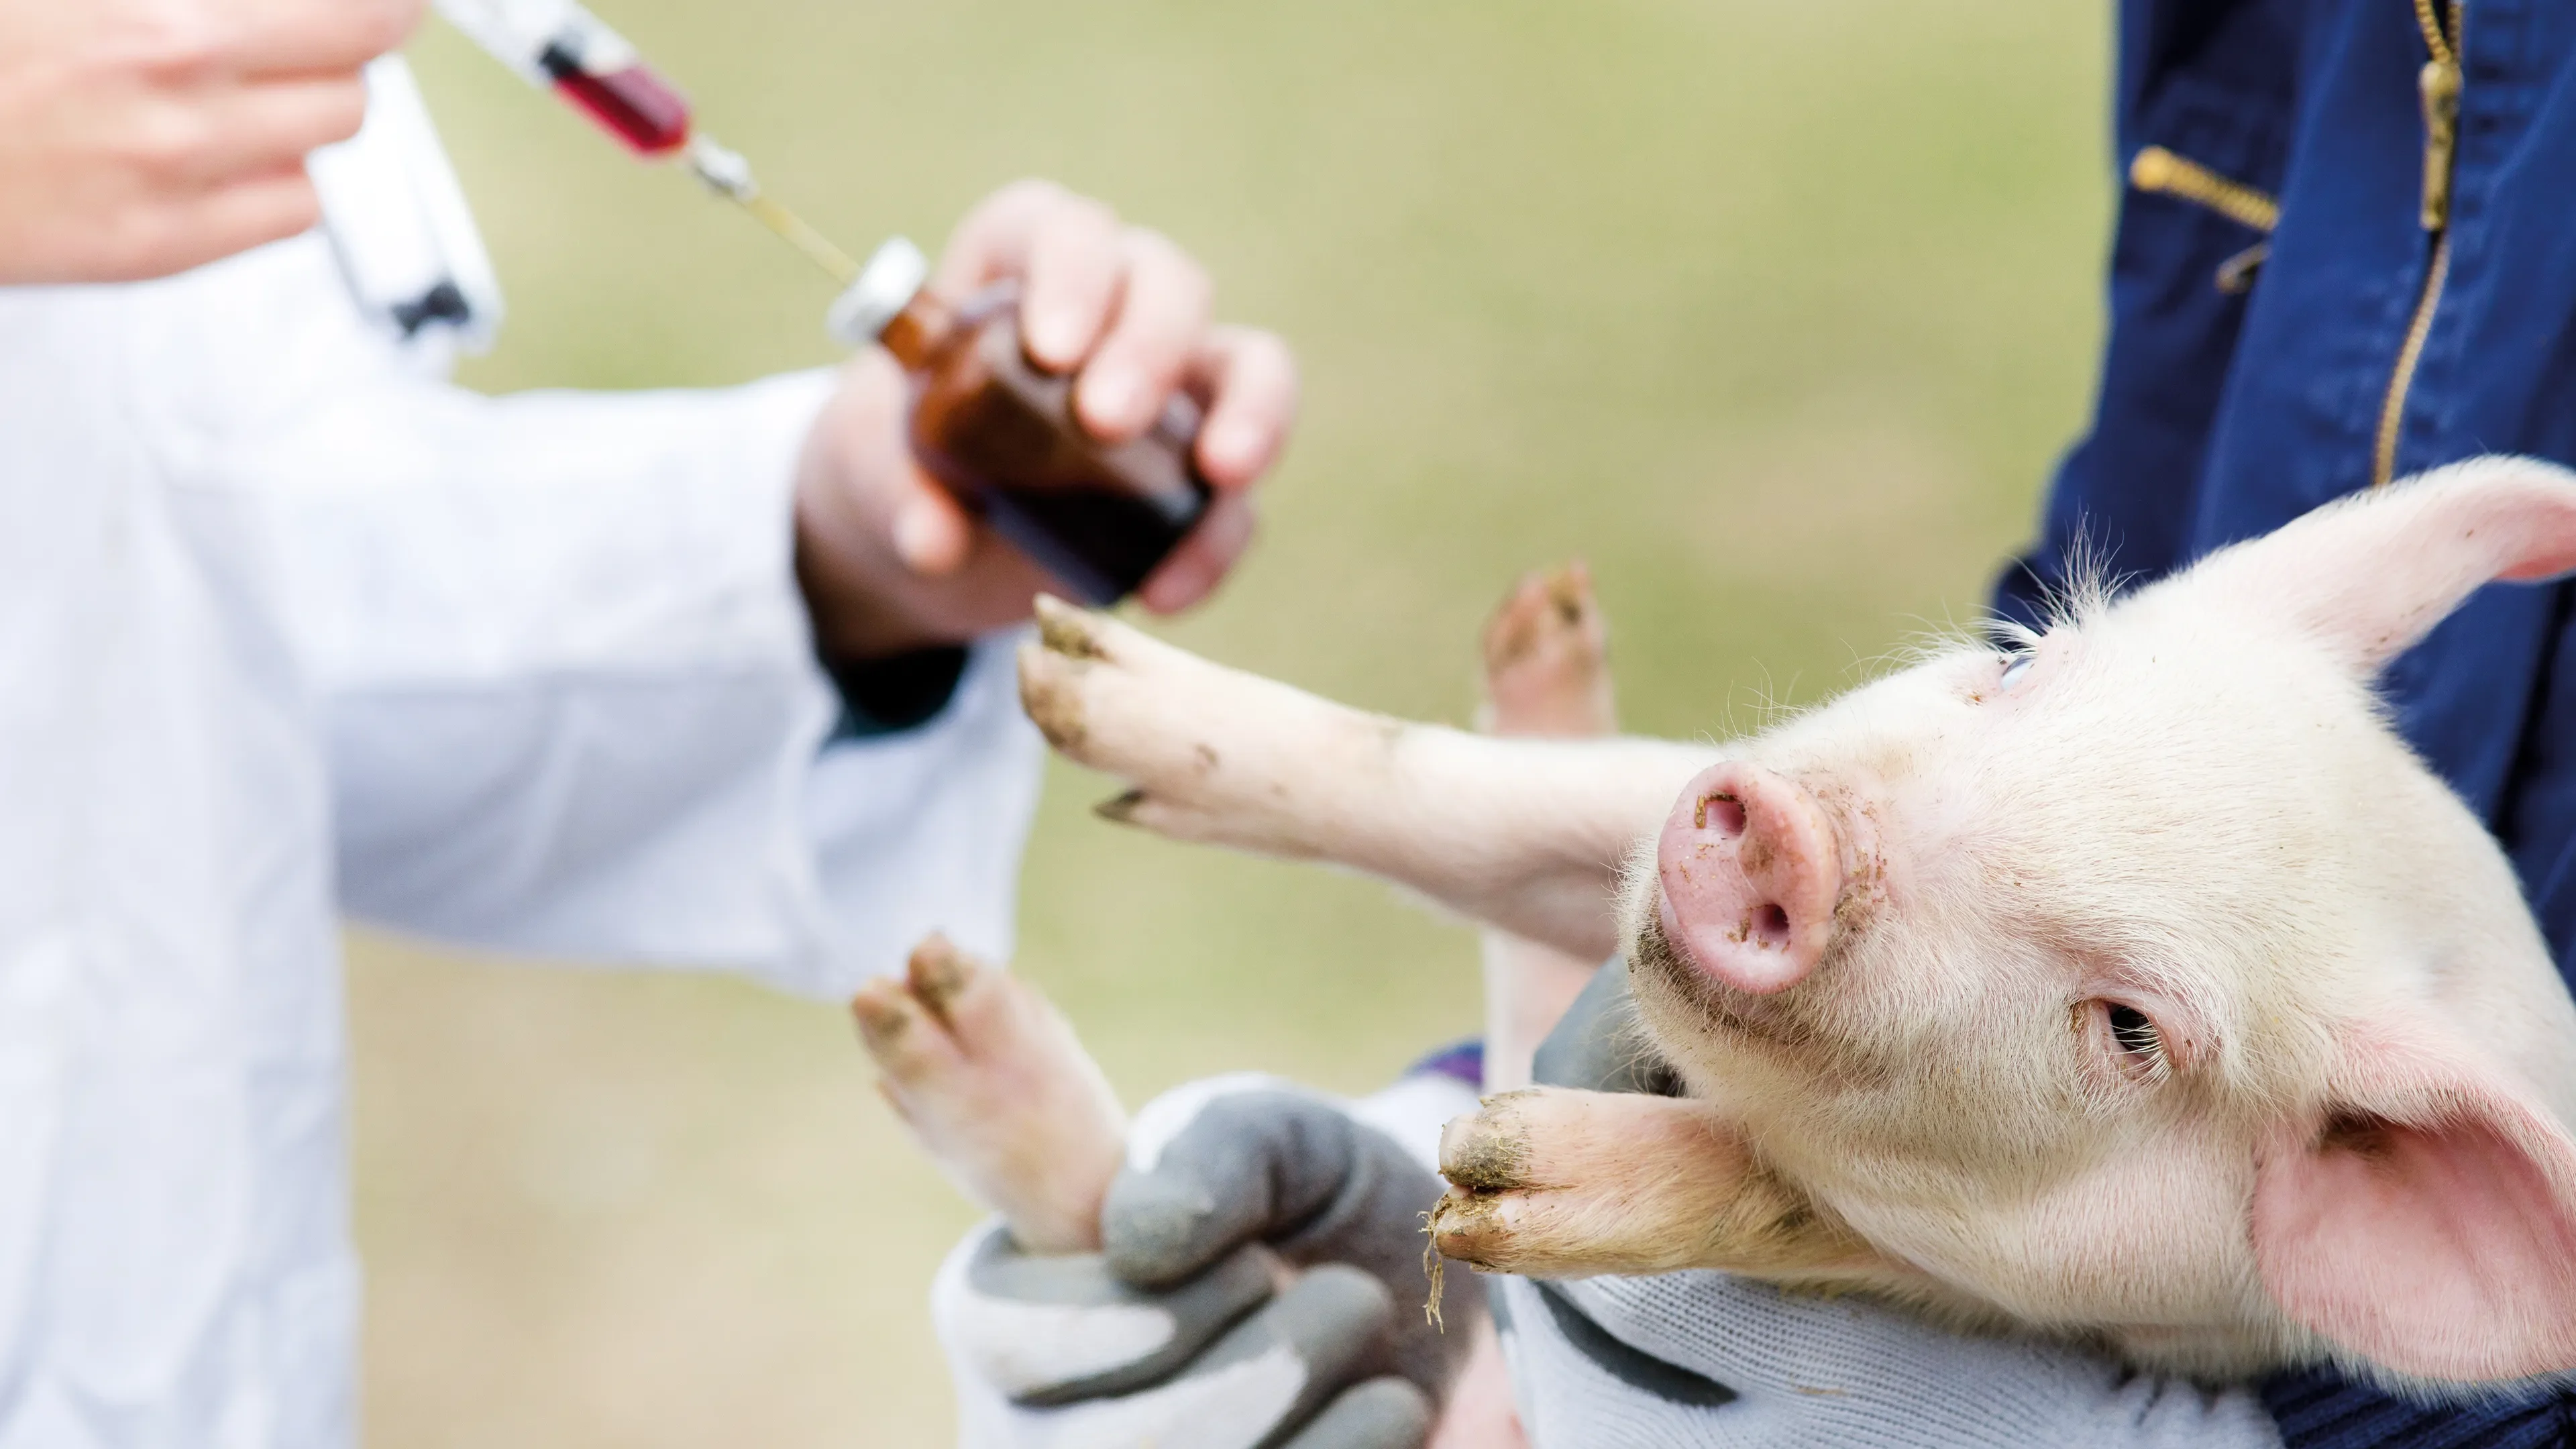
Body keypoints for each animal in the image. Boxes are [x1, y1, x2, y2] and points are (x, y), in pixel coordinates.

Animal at [1012, 456, 2576, 1390]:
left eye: (2131, 1029)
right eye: (2017, 669)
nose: (1791, 841)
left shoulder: (2104, 1304)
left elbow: (1783, 1197)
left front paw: (1496, 1176)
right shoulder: (1660, 798)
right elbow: (1497, 808)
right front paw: (1067, 674)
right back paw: (1538, 632)